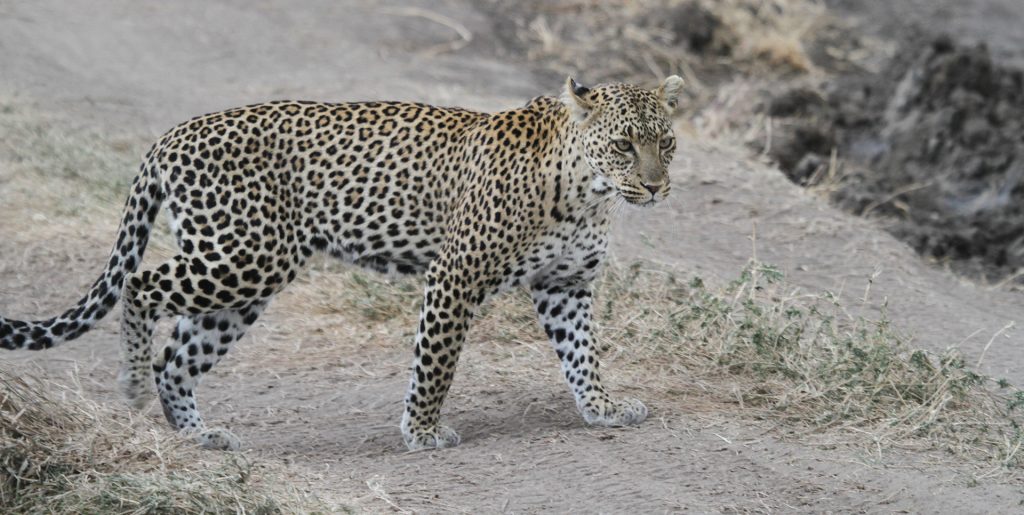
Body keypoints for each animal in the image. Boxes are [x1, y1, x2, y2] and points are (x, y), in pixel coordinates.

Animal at [2, 75, 688, 450]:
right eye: (624, 145)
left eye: (667, 142)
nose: (656, 188)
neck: (588, 192)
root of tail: (171, 135)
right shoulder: (455, 276)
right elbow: (436, 363)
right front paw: (422, 432)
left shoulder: (565, 283)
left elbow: (582, 353)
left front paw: (602, 408)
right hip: (244, 257)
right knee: (141, 287)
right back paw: (132, 387)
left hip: (241, 284)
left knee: (178, 355)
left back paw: (198, 437)